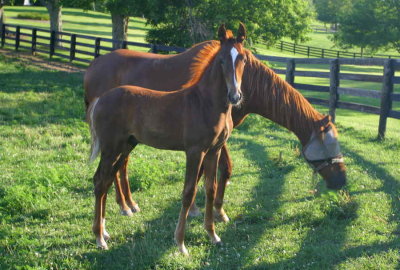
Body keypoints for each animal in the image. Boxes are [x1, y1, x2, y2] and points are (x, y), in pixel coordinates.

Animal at [85, 28, 346, 221]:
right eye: (330, 146)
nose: (342, 181)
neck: (247, 82)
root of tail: (93, 67)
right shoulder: (210, 139)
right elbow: (221, 169)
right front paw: (206, 210)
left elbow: (217, 170)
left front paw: (215, 210)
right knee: (114, 168)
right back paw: (123, 206)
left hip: (128, 139)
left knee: (120, 166)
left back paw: (128, 203)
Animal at [86, 24, 247, 254]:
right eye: (222, 60)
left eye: (243, 58)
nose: (235, 96)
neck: (206, 103)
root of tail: (100, 99)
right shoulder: (195, 151)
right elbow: (189, 192)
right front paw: (180, 243)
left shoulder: (214, 150)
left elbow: (210, 188)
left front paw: (212, 235)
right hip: (110, 147)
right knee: (100, 181)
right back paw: (100, 238)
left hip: (125, 145)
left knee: (107, 180)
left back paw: (105, 231)